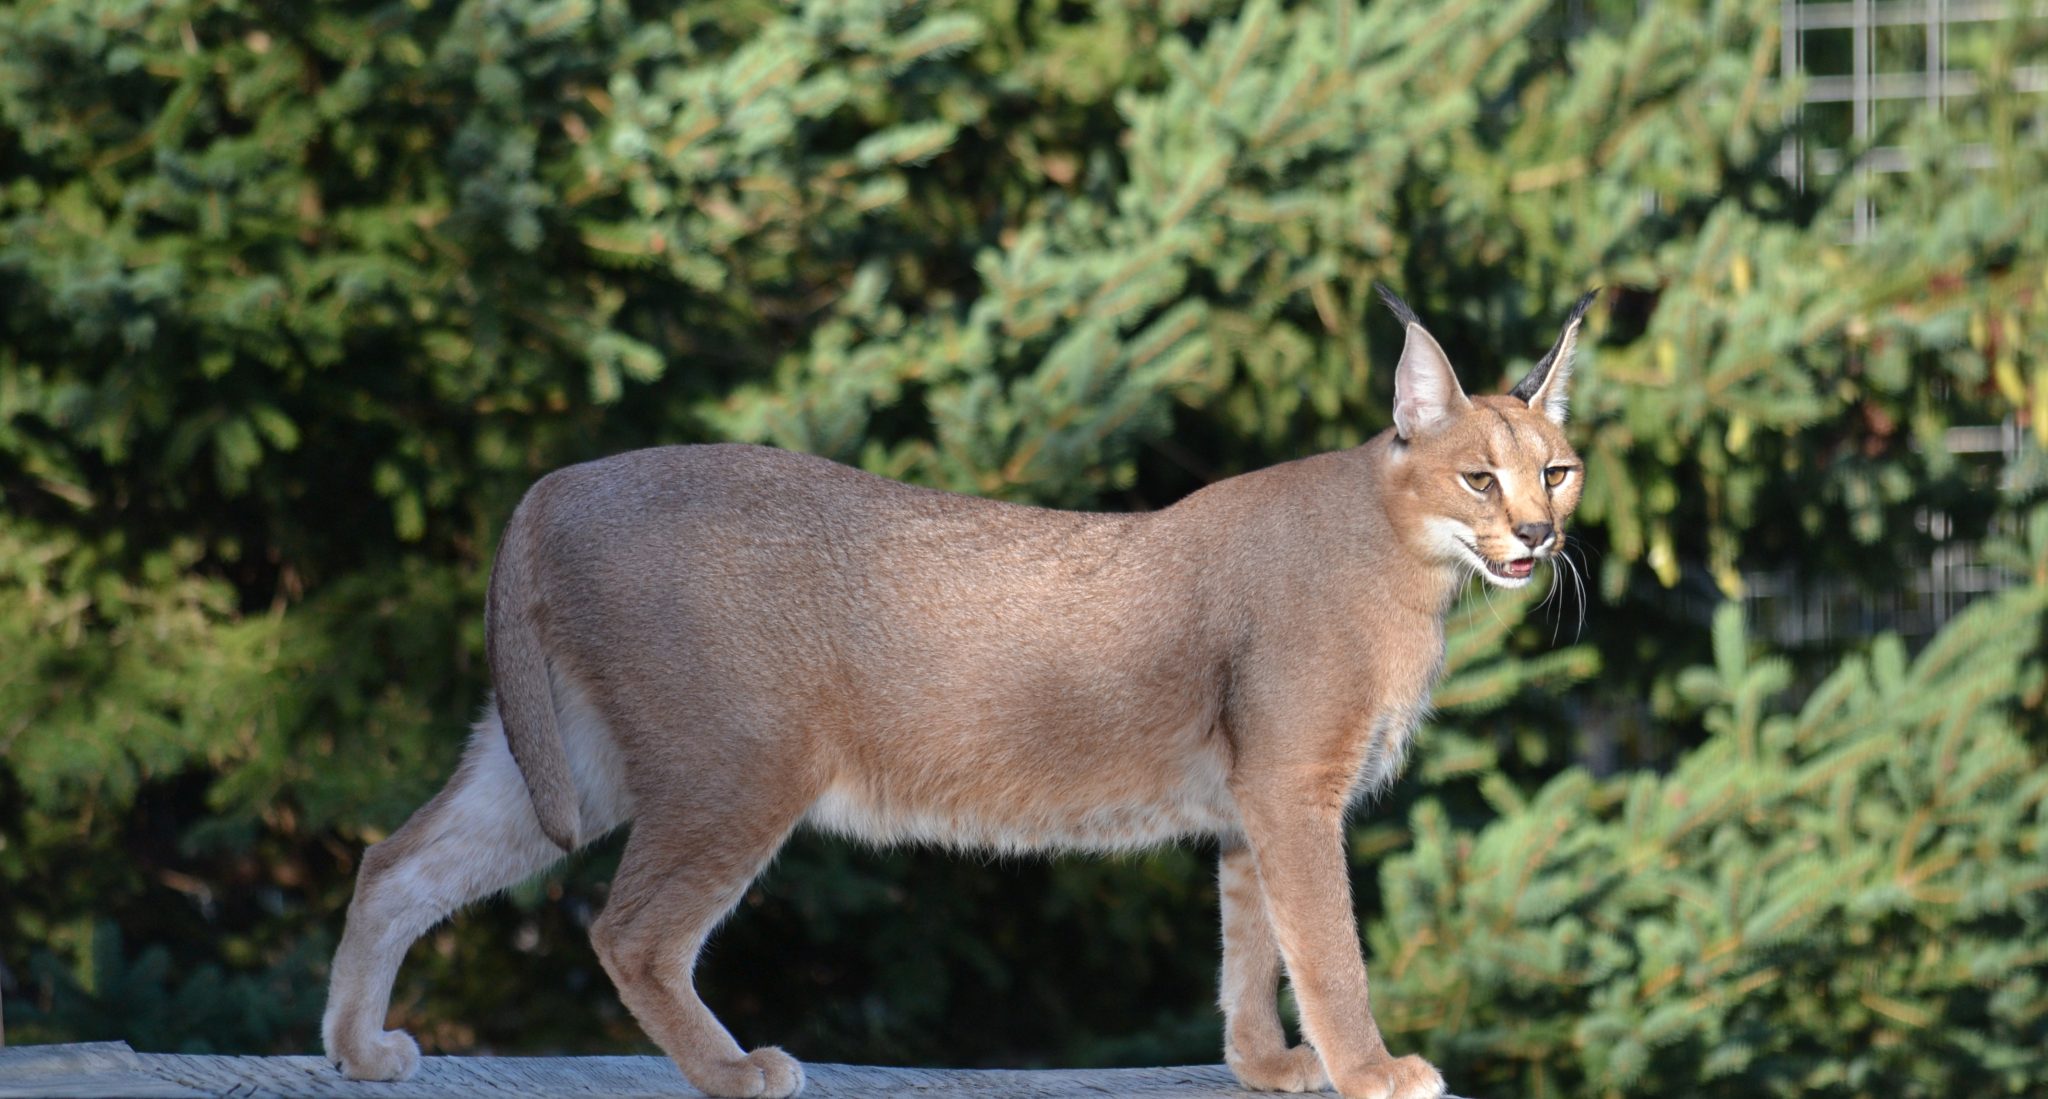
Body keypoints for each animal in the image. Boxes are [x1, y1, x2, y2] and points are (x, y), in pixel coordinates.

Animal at [323, 288, 1597, 1096]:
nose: (1537, 537)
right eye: (1476, 477)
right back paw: (733, 1070)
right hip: (743, 763)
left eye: (1557, 469)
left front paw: (1265, 1066)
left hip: (568, 763)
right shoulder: (1293, 787)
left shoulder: (1252, 801)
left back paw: (358, 1047)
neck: (1404, 554)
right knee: (628, 929)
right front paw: (1368, 1070)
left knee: (397, 861)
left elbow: (1252, 943)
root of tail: (557, 481)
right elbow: (1327, 943)